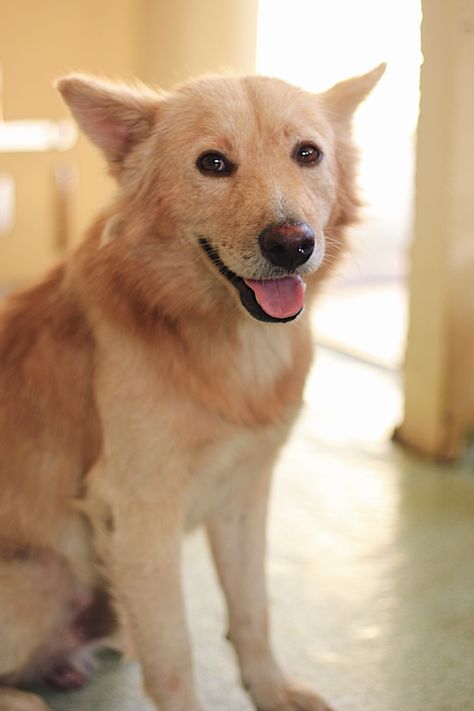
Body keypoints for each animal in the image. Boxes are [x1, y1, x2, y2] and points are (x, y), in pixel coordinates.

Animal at [0, 64, 386, 708]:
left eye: (307, 153)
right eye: (213, 163)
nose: (293, 244)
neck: (229, 345)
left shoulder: (244, 492)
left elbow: (253, 610)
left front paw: (271, 689)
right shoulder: (139, 515)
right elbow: (174, 656)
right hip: (41, 576)